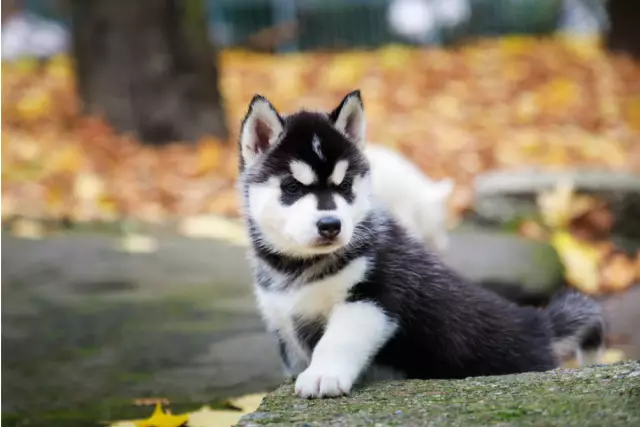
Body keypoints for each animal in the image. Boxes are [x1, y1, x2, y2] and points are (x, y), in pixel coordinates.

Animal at [236, 91, 604, 402]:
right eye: (292, 187)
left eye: (346, 186)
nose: (331, 225)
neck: (299, 267)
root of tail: (537, 323)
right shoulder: (285, 325)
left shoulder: (373, 296)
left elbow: (338, 339)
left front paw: (322, 375)